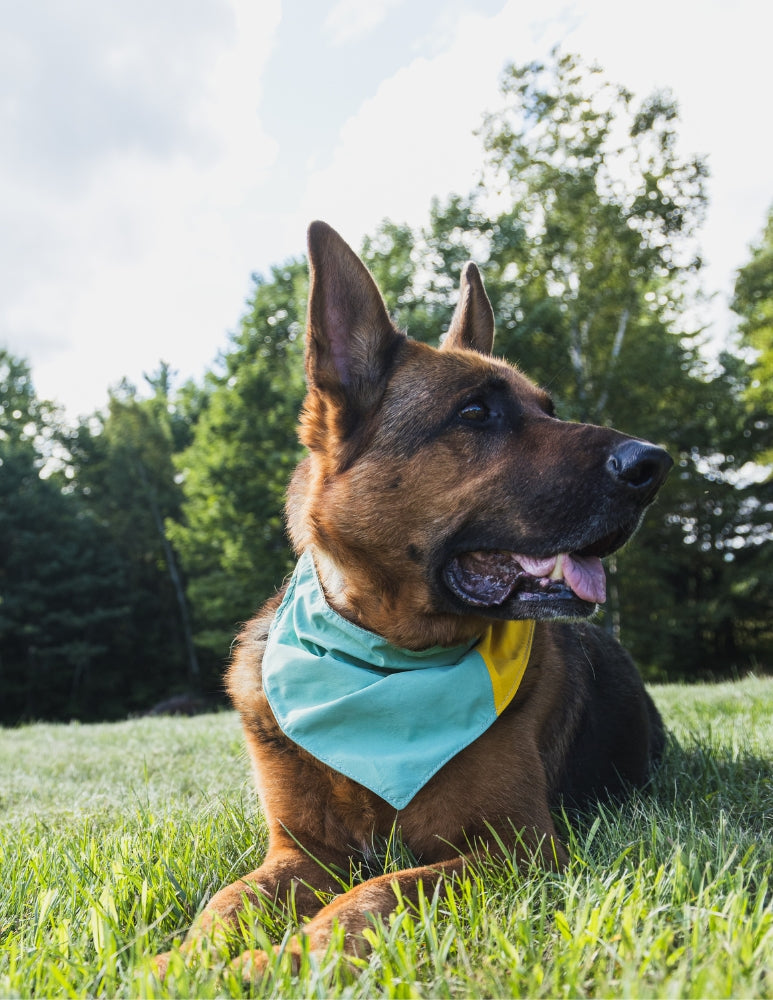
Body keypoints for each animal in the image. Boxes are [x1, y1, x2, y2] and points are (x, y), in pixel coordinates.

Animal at [152, 219, 668, 976]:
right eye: (476, 412)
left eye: (548, 409)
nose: (654, 464)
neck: (385, 661)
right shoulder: (300, 853)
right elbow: (227, 901)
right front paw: (188, 960)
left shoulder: (509, 846)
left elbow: (374, 891)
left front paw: (287, 958)